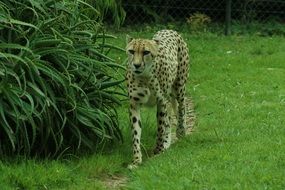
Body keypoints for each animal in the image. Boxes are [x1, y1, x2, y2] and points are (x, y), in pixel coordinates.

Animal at [125, 29, 190, 168]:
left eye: (146, 52)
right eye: (131, 51)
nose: (136, 65)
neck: (144, 77)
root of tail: (169, 30)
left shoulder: (161, 101)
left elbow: (161, 127)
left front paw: (158, 150)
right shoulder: (134, 103)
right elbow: (135, 133)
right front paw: (136, 160)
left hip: (180, 86)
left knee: (181, 108)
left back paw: (181, 131)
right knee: (169, 119)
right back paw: (167, 141)